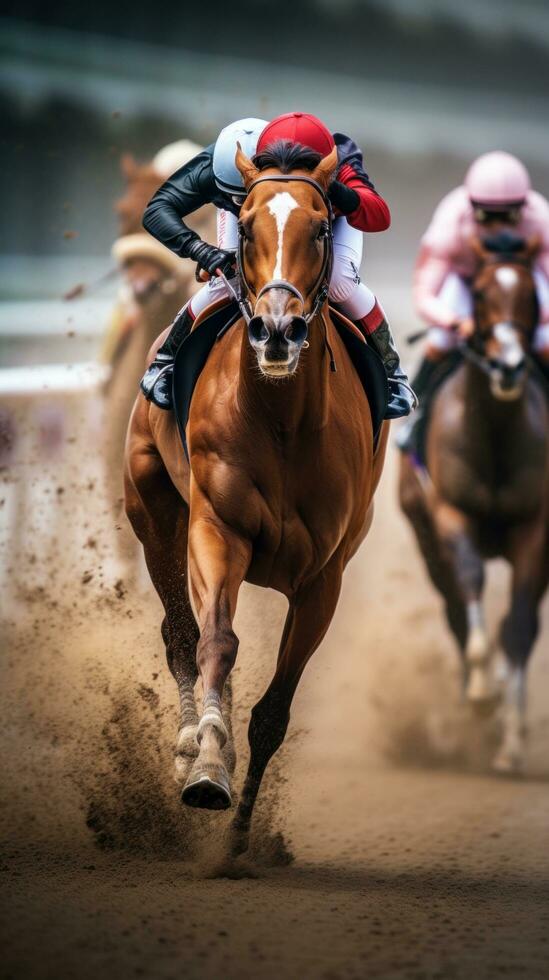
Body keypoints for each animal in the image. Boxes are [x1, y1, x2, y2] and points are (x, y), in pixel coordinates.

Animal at [124, 142, 390, 852]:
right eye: (242, 229)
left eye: (321, 228)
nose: (277, 330)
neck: (281, 419)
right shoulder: (217, 530)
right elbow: (215, 642)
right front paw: (208, 767)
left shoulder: (324, 576)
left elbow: (274, 711)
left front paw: (240, 837)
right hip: (154, 517)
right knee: (179, 633)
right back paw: (187, 741)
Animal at [398, 235, 548, 772]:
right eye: (479, 294)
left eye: (532, 294)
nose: (509, 367)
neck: (495, 433)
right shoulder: (451, 516)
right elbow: (471, 587)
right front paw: (482, 693)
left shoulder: (535, 528)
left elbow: (520, 626)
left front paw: (512, 738)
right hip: (426, 541)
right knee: (456, 612)